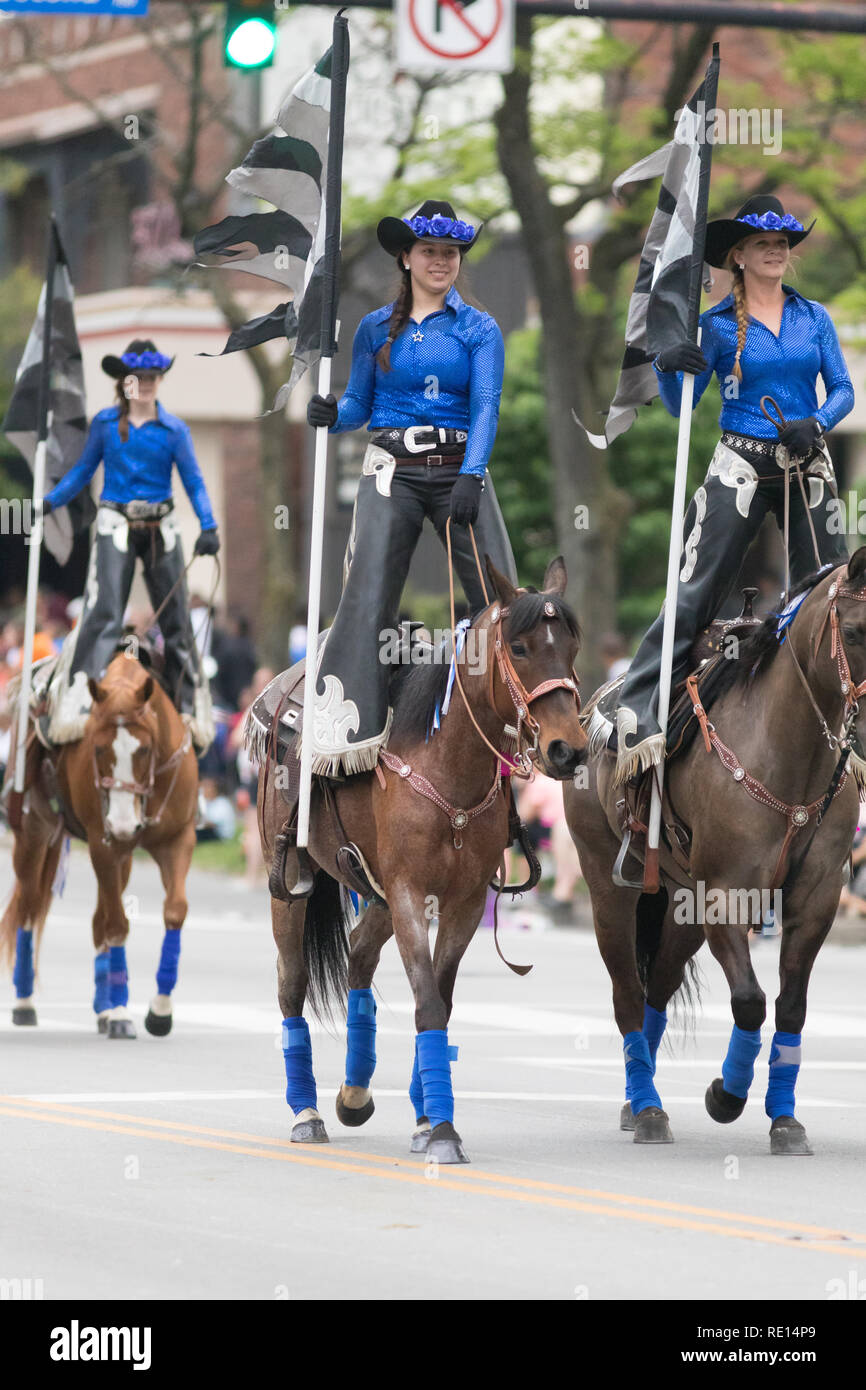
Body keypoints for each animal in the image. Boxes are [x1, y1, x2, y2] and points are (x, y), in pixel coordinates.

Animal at [1, 647, 200, 1034]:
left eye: (145, 749)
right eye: (97, 749)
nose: (122, 823)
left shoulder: (177, 840)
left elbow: (174, 911)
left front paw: (159, 1009)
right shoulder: (103, 846)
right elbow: (117, 924)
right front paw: (122, 1011)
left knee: (96, 919)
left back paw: (102, 1007)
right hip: (34, 833)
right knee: (29, 910)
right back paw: (25, 1002)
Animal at [250, 553, 589, 1162]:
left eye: (572, 647)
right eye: (521, 647)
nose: (568, 749)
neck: (447, 767)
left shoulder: (461, 903)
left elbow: (442, 1001)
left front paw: (429, 1118)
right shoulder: (409, 893)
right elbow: (428, 1002)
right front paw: (444, 1131)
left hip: (376, 893)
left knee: (360, 958)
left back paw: (354, 1094)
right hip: (291, 882)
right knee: (292, 983)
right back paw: (307, 1112)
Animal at [561, 547, 866, 1156]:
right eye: (852, 630)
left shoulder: (816, 899)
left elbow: (790, 1005)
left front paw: (784, 1119)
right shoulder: (725, 895)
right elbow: (749, 998)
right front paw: (726, 1096)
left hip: (681, 906)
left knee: (656, 991)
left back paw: (640, 1100)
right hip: (609, 887)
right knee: (627, 995)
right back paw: (648, 1109)